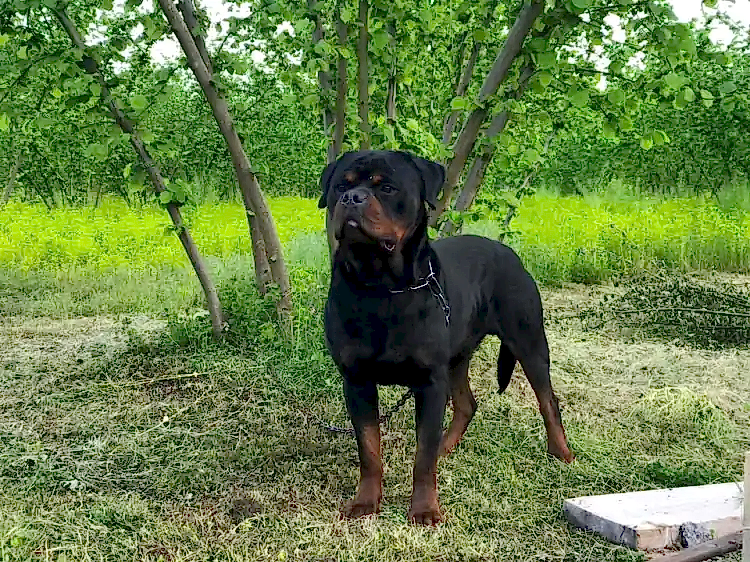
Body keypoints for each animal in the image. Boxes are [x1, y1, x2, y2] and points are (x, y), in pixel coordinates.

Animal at [319, 150, 574, 525]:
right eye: (341, 186)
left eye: (387, 188)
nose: (352, 198)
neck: (382, 287)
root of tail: (508, 252)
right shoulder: (357, 381)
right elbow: (369, 448)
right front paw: (365, 502)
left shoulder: (430, 381)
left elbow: (422, 457)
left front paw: (425, 509)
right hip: (457, 356)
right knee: (467, 404)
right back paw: (446, 446)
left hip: (528, 341)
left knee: (547, 400)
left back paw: (561, 452)